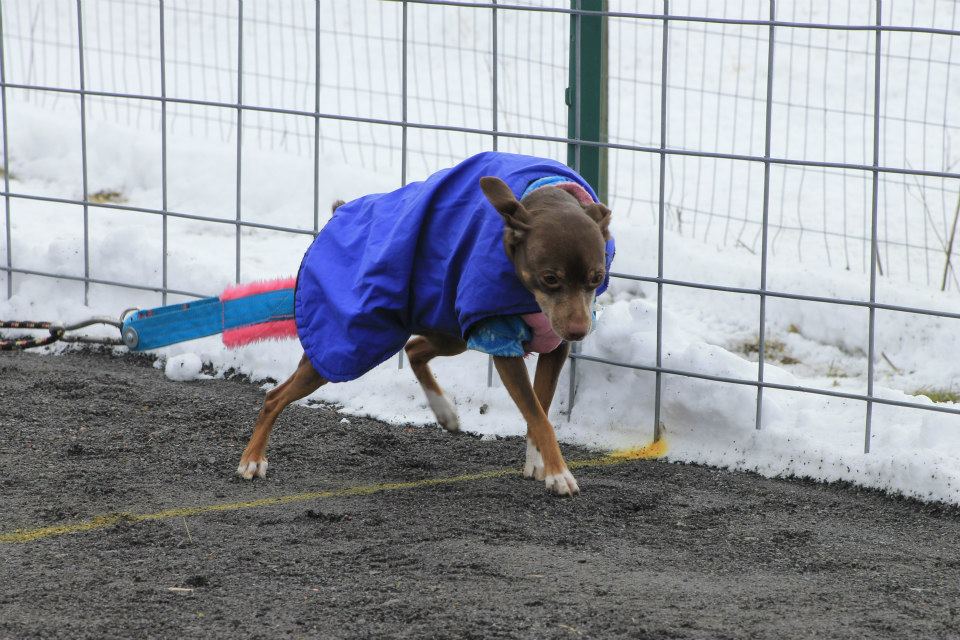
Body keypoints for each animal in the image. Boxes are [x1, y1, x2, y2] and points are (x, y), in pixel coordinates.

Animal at [236, 174, 612, 496]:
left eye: (597, 278)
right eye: (550, 278)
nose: (579, 330)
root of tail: (338, 214)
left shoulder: (554, 347)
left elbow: (540, 410)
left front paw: (539, 465)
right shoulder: (502, 344)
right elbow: (538, 414)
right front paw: (560, 475)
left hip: (452, 330)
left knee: (415, 348)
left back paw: (444, 411)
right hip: (339, 348)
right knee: (274, 397)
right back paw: (252, 460)